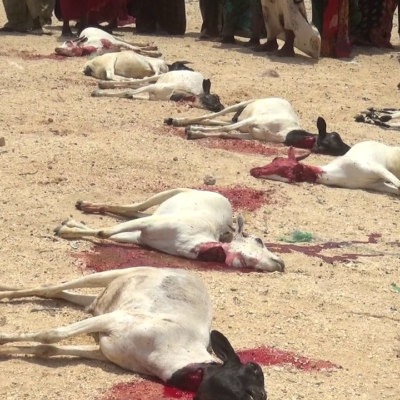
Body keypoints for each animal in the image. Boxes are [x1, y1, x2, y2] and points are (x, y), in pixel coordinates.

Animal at [0, 267, 267, 400]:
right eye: (253, 368)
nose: (260, 394)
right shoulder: (116, 319)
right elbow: (50, 335)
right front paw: (3, 340)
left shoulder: (103, 351)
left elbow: (47, 348)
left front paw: (7, 349)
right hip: (112, 275)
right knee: (53, 287)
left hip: (99, 302)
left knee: (55, 292)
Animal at [53, 188, 285, 272]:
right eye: (259, 240)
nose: (281, 263)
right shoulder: (148, 227)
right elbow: (105, 232)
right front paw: (64, 230)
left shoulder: (141, 238)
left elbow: (106, 232)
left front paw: (68, 226)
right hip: (170, 194)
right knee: (133, 207)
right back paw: (85, 205)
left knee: (133, 212)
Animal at [91, 70, 225, 112]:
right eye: (215, 98)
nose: (222, 108)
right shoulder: (155, 88)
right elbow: (128, 93)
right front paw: (97, 93)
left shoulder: (152, 97)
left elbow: (130, 95)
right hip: (159, 78)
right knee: (139, 81)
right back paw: (103, 84)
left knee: (137, 82)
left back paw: (103, 84)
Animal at [164, 98, 350, 156]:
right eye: (332, 139)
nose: (348, 150)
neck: (287, 132)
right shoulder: (252, 121)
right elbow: (225, 131)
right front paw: (193, 131)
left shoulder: (252, 135)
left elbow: (225, 134)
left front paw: (194, 132)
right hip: (242, 108)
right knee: (211, 117)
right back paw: (178, 121)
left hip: (239, 122)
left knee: (220, 123)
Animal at [250, 141, 400, 195]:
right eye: (275, 159)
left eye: (288, 174)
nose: (254, 170)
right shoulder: (376, 185)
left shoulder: (377, 168)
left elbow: (397, 183)